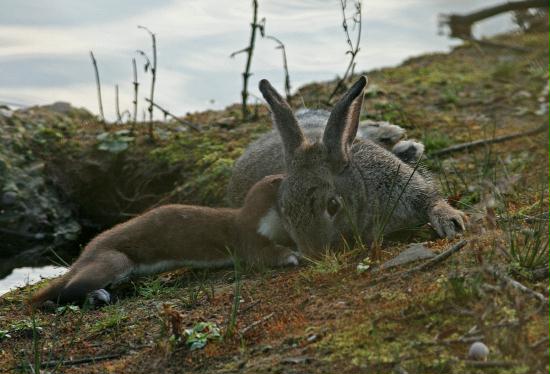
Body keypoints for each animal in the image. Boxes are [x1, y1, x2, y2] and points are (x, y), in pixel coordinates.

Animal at [30, 174, 298, 306]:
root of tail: (87, 250)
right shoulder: (248, 238)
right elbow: (261, 254)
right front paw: (291, 256)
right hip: (114, 258)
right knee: (63, 290)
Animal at [226, 76, 468, 258]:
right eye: (283, 208)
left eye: (333, 205)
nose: (313, 254)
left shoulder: (404, 183)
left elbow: (430, 199)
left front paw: (451, 221)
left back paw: (396, 136)